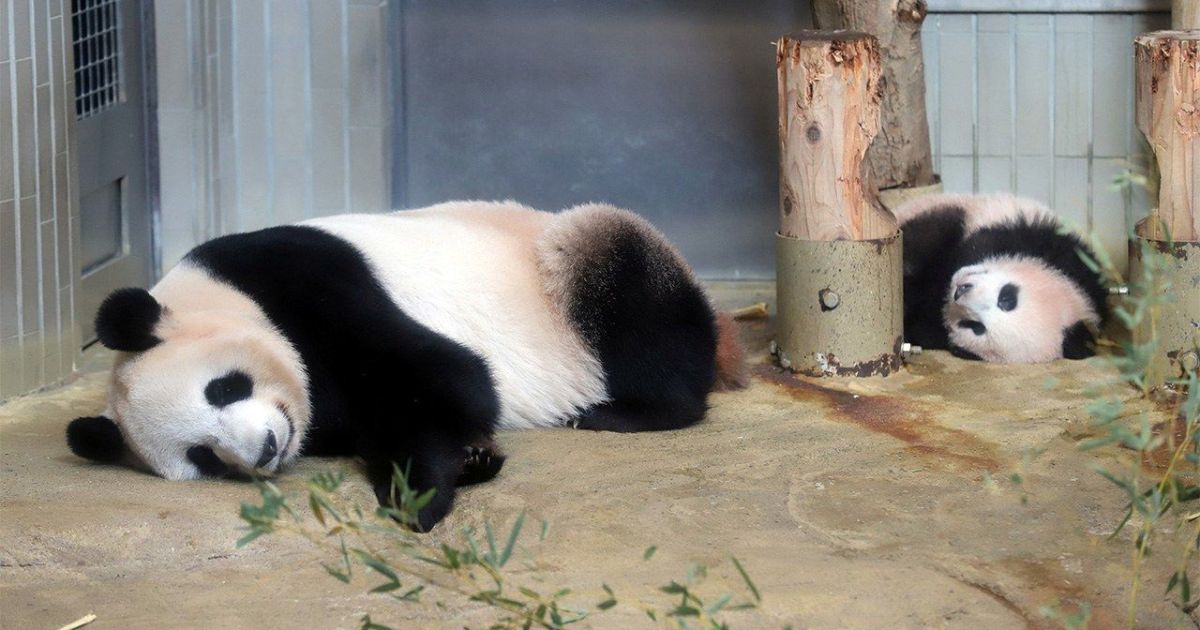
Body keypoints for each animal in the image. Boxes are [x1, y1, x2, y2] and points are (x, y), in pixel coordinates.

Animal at [66, 201, 747, 530]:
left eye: (222, 388)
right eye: (202, 456)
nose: (264, 450)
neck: (215, 292)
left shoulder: (307, 276)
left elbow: (445, 374)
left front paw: (415, 498)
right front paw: (471, 461)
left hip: (570, 261)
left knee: (620, 277)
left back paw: (620, 411)